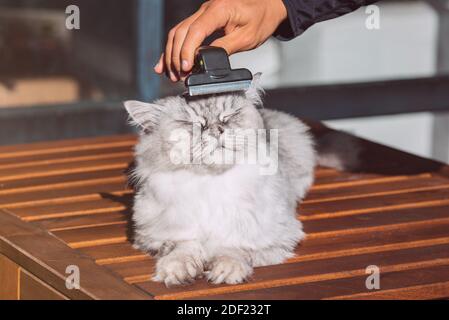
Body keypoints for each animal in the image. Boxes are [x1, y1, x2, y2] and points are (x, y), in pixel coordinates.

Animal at [122, 74, 316, 286]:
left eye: (228, 116)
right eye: (191, 124)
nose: (216, 130)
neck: (211, 182)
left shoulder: (275, 234)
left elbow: (232, 247)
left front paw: (227, 270)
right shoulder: (156, 234)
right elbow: (184, 247)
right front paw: (177, 270)